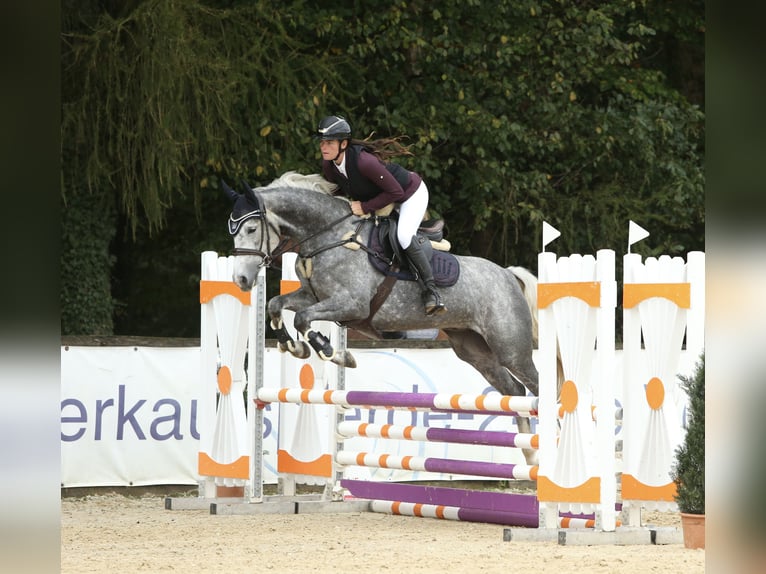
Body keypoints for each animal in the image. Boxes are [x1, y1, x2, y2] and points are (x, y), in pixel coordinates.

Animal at [225, 172, 548, 468]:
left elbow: (303, 319)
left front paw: (333, 353)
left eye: (251, 228)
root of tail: (508, 274)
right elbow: (276, 305)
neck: (329, 237)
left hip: (510, 347)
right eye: (234, 232)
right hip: (475, 351)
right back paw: (530, 455)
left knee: (535, 387)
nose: (241, 280)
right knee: (515, 391)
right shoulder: (312, 295)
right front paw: (295, 347)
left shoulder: (352, 305)